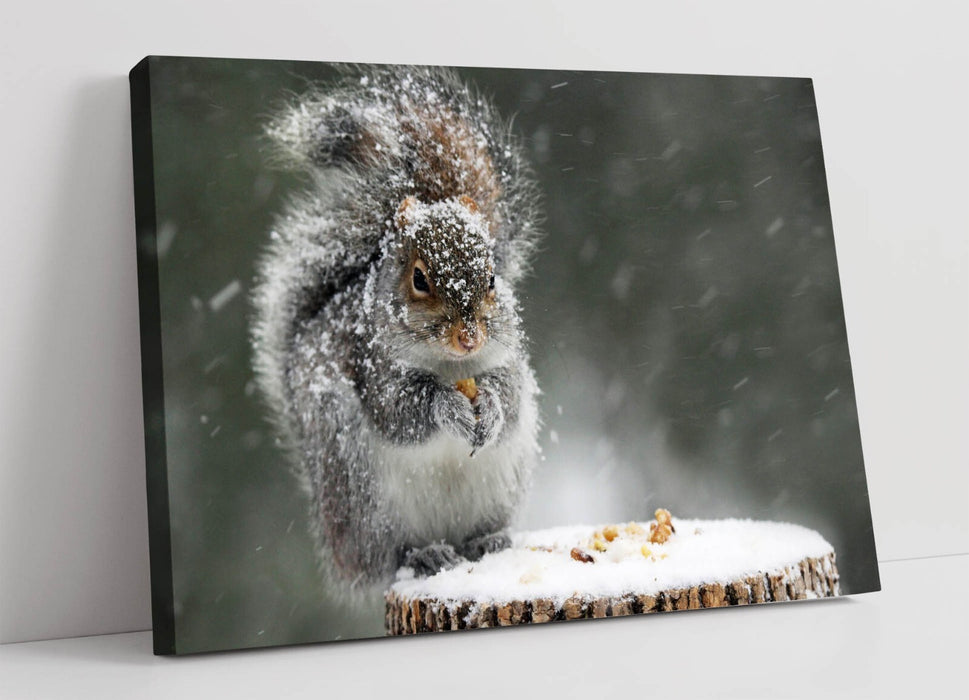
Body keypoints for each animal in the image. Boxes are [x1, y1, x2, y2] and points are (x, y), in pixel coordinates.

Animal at [251, 66, 542, 598]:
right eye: (420, 279)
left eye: (493, 278)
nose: (469, 337)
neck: (451, 366)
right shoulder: (370, 362)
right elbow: (399, 409)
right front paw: (447, 407)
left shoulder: (509, 360)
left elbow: (509, 400)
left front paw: (488, 407)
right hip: (360, 497)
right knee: (386, 559)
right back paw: (422, 554)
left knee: (477, 531)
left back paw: (488, 541)